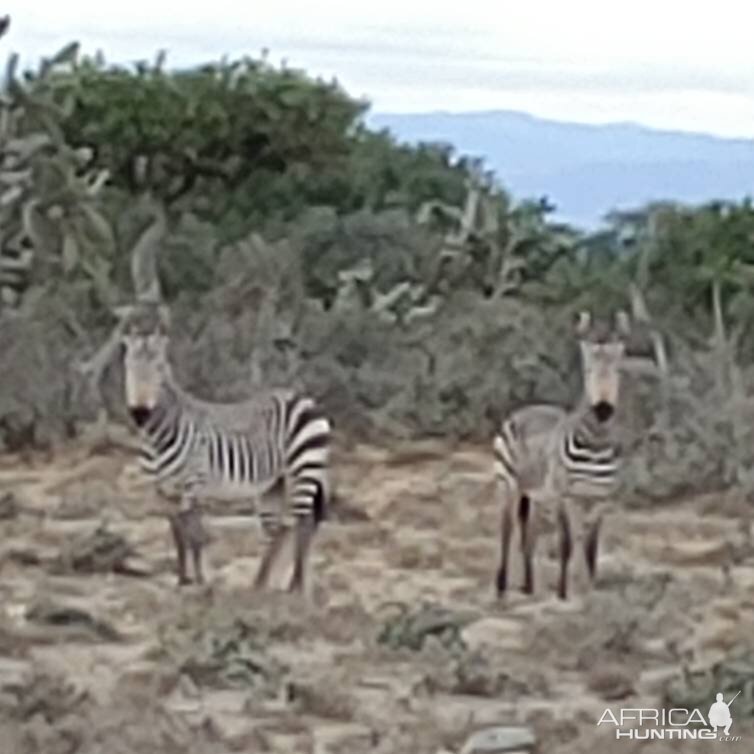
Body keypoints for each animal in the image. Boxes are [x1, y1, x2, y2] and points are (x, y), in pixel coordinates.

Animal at [118, 302, 328, 592]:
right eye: (129, 367)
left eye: (160, 368)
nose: (140, 414)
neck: (157, 436)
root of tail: (303, 398)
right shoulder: (161, 489)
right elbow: (178, 535)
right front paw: (182, 580)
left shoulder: (192, 482)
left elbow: (195, 535)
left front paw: (201, 582)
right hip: (275, 484)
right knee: (279, 530)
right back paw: (260, 585)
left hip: (304, 467)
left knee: (302, 522)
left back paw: (294, 587)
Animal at [490, 310, 632, 600]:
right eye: (588, 371)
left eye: (617, 370)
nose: (603, 411)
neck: (596, 441)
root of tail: (526, 409)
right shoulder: (566, 496)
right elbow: (567, 543)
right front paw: (563, 594)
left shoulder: (601, 499)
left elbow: (590, 549)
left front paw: (590, 591)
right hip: (509, 485)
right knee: (507, 531)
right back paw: (501, 588)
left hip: (537, 497)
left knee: (529, 538)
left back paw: (529, 588)